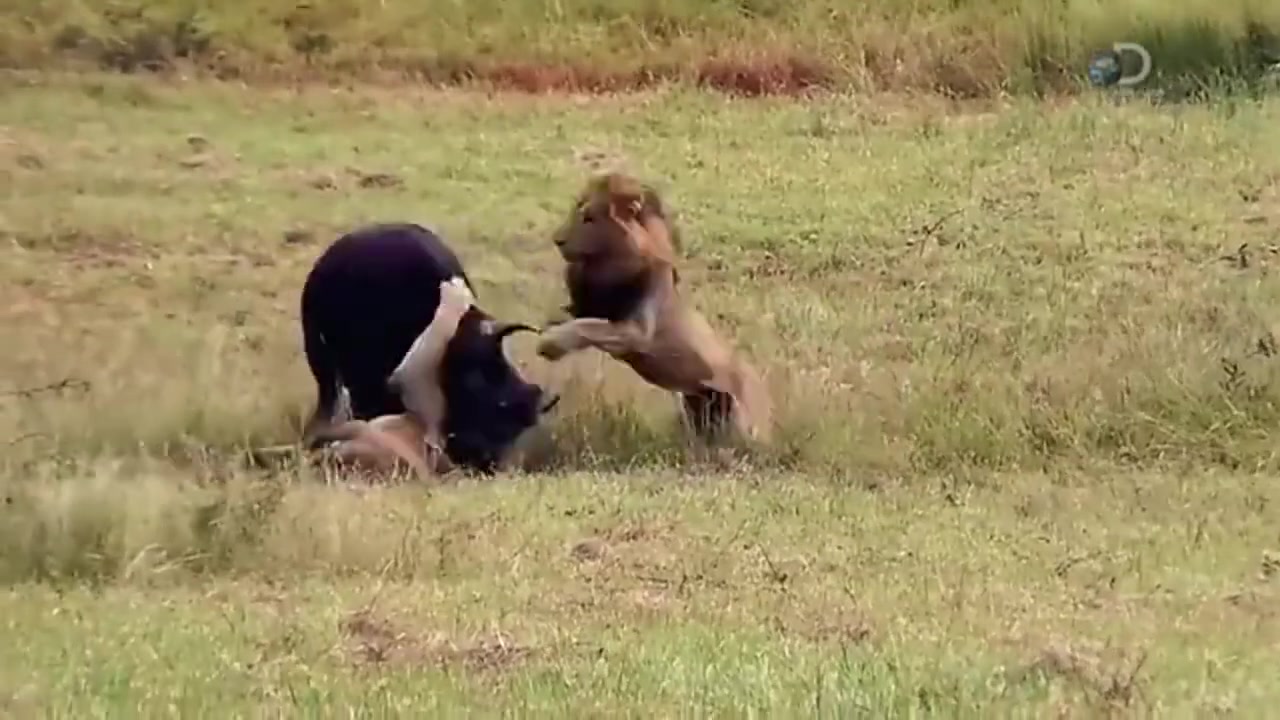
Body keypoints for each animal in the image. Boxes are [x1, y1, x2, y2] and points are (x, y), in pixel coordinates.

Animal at [537, 172, 773, 443]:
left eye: (589, 218)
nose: (557, 239)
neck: (606, 266)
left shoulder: (636, 333)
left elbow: (589, 327)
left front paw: (551, 343)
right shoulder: (589, 306)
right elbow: (578, 318)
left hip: (744, 421)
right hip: (697, 408)